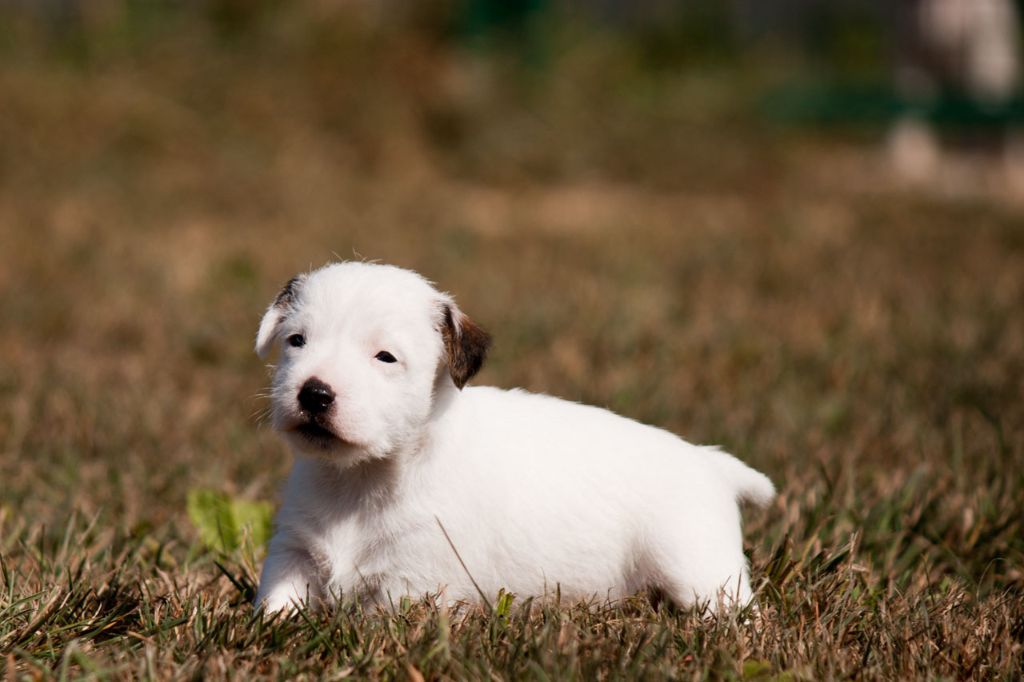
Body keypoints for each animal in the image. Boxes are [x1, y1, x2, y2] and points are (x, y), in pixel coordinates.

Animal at [251, 260, 770, 610]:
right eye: (297, 341)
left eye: (385, 357)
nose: (314, 393)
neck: (358, 481)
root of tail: (708, 461)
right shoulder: (293, 554)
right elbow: (278, 603)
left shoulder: (413, 578)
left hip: (698, 570)